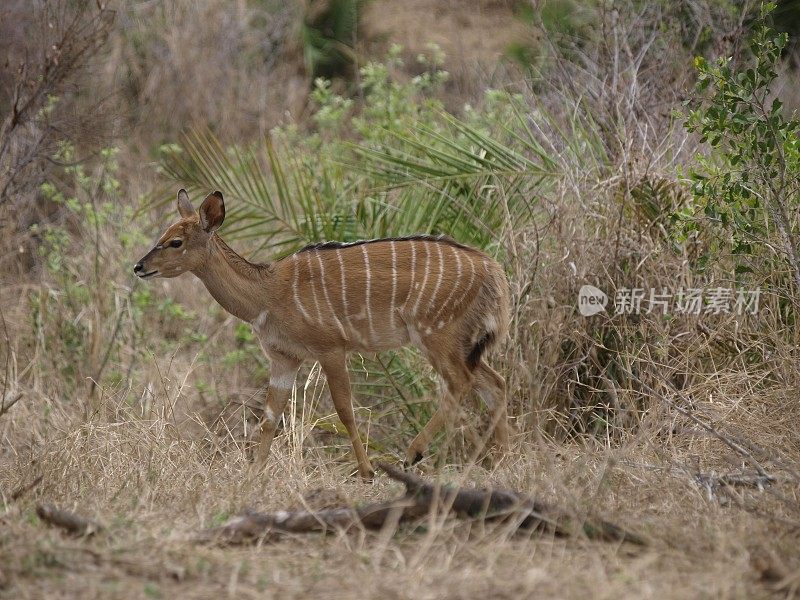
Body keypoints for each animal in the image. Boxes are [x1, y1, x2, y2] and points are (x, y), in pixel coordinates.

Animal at [134, 189, 510, 478]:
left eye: (176, 241)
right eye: (163, 235)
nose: (139, 266)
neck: (266, 293)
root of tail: (493, 269)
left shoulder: (331, 349)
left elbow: (344, 410)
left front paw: (367, 472)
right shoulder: (284, 359)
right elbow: (269, 418)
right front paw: (252, 476)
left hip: (436, 335)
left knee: (459, 383)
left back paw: (413, 454)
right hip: (459, 341)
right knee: (494, 383)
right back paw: (501, 462)